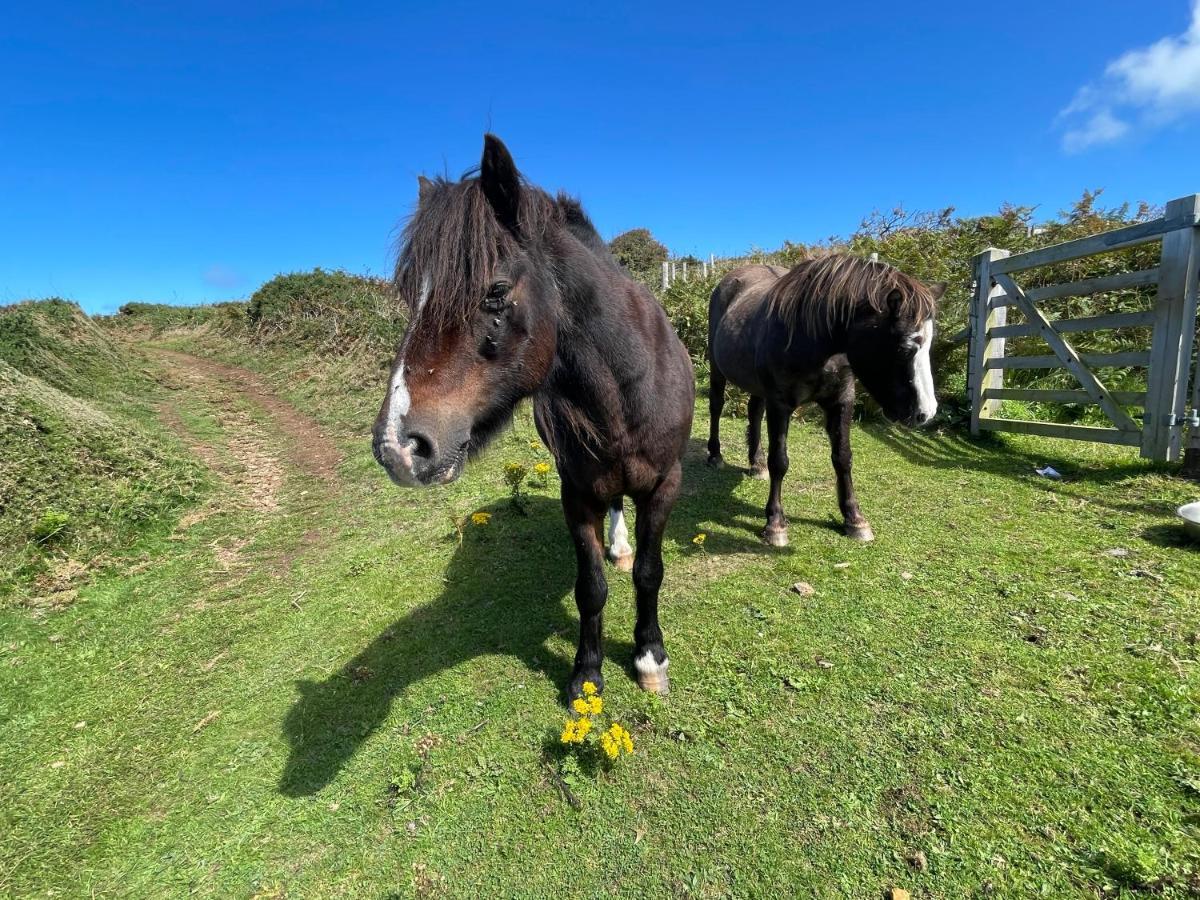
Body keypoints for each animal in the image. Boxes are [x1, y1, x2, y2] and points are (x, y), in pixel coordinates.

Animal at [374, 135, 696, 696]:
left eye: (496, 291)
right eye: (410, 295)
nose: (397, 448)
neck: (628, 387)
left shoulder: (664, 484)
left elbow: (649, 573)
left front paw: (649, 657)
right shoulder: (577, 492)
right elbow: (590, 586)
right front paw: (586, 674)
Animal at [705, 256, 940, 547]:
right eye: (904, 348)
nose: (925, 413)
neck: (815, 337)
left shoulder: (841, 401)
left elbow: (843, 457)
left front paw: (854, 518)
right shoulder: (780, 404)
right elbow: (779, 461)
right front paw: (775, 523)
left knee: (754, 411)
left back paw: (756, 463)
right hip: (717, 369)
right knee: (716, 406)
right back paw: (715, 455)